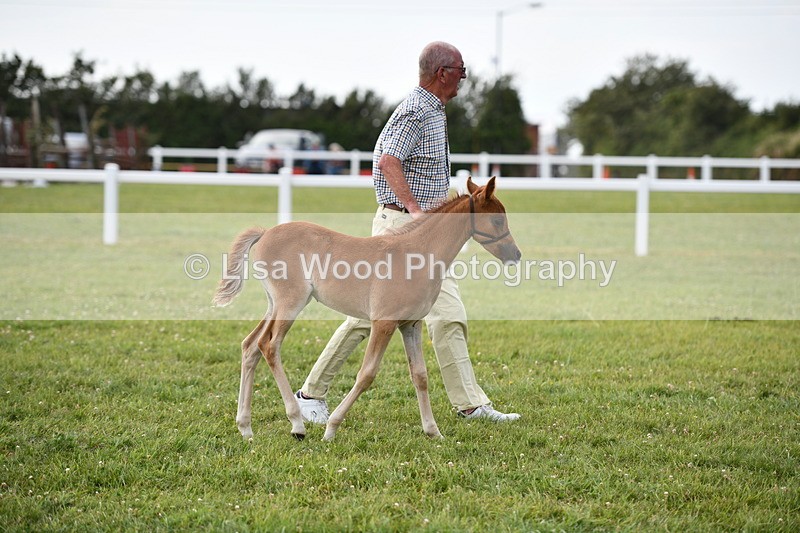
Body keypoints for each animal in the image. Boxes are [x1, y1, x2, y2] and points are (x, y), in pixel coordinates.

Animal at [212, 177, 520, 441]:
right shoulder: (383, 323)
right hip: (291, 303)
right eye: (497, 218)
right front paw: (332, 428)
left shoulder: (411, 324)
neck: (417, 254)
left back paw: (245, 427)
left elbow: (420, 375)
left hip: (274, 305)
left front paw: (433, 431)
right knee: (269, 345)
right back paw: (297, 425)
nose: (515, 255)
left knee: (250, 345)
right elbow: (367, 373)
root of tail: (265, 233)